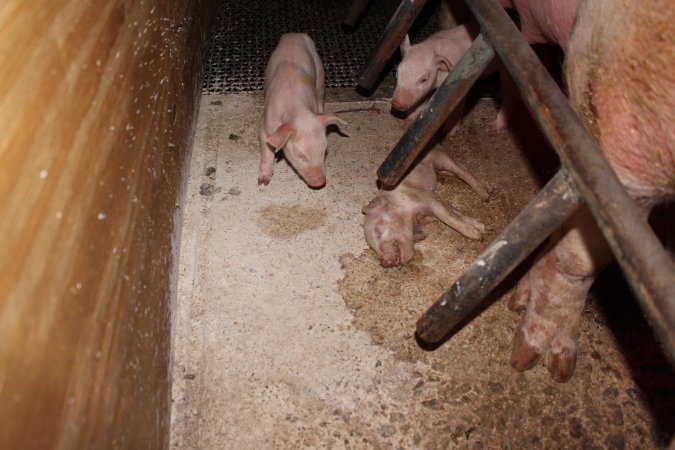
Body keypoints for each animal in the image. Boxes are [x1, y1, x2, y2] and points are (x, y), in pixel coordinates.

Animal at [258, 33, 346, 187]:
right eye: (300, 155)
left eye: (324, 150)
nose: (320, 182)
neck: (297, 110)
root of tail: (295, 34)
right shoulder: (264, 124)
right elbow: (267, 150)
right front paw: (263, 182)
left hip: (320, 73)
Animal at [362, 147, 494, 268]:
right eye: (372, 248)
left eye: (377, 230)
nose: (384, 262)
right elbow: (457, 214)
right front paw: (486, 228)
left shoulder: (428, 198)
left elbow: (451, 219)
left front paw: (479, 237)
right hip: (440, 169)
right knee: (457, 169)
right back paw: (489, 189)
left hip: (440, 157)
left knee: (462, 169)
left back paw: (486, 196)